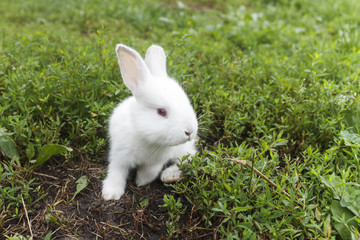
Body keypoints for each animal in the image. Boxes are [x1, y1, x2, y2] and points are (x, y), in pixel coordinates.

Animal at [101, 43, 198, 201]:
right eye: (161, 111)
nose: (190, 131)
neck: (146, 138)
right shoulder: (119, 155)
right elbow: (116, 172)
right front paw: (111, 194)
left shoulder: (156, 162)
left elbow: (149, 172)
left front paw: (140, 182)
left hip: (182, 150)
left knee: (188, 158)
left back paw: (169, 175)